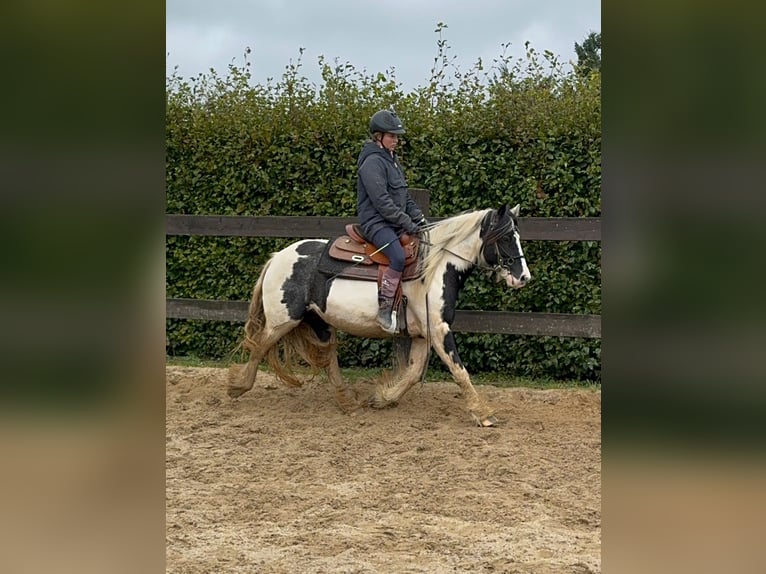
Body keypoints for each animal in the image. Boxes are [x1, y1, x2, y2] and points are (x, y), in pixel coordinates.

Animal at [225, 204, 532, 428]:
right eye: (506, 237)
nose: (523, 277)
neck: (434, 267)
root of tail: (277, 257)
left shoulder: (423, 334)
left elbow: (413, 373)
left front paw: (382, 398)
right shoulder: (439, 329)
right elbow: (458, 370)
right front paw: (483, 414)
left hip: (320, 322)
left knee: (327, 359)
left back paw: (348, 403)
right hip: (283, 319)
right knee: (260, 346)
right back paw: (238, 387)